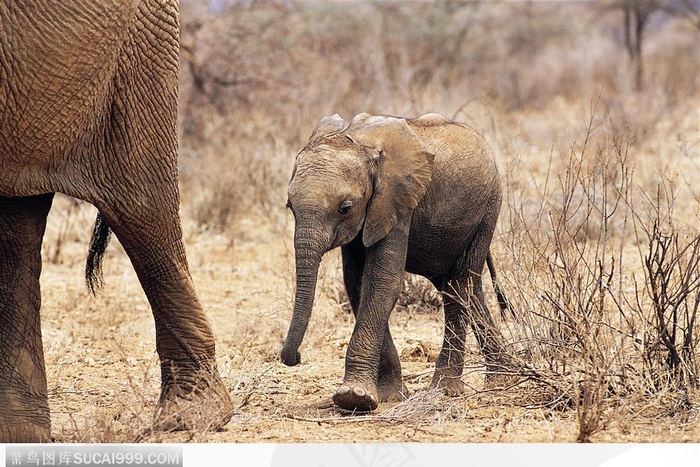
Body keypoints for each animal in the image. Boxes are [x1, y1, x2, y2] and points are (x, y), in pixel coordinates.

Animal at [284, 111, 516, 412]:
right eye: (289, 206)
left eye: (345, 208)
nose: (295, 358)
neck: (359, 142)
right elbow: (357, 285)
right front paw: (389, 395)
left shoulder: (396, 202)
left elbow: (381, 283)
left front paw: (353, 397)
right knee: (469, 290)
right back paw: (501, 378)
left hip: (486, 212)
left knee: (458, 288)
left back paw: (445, 390)